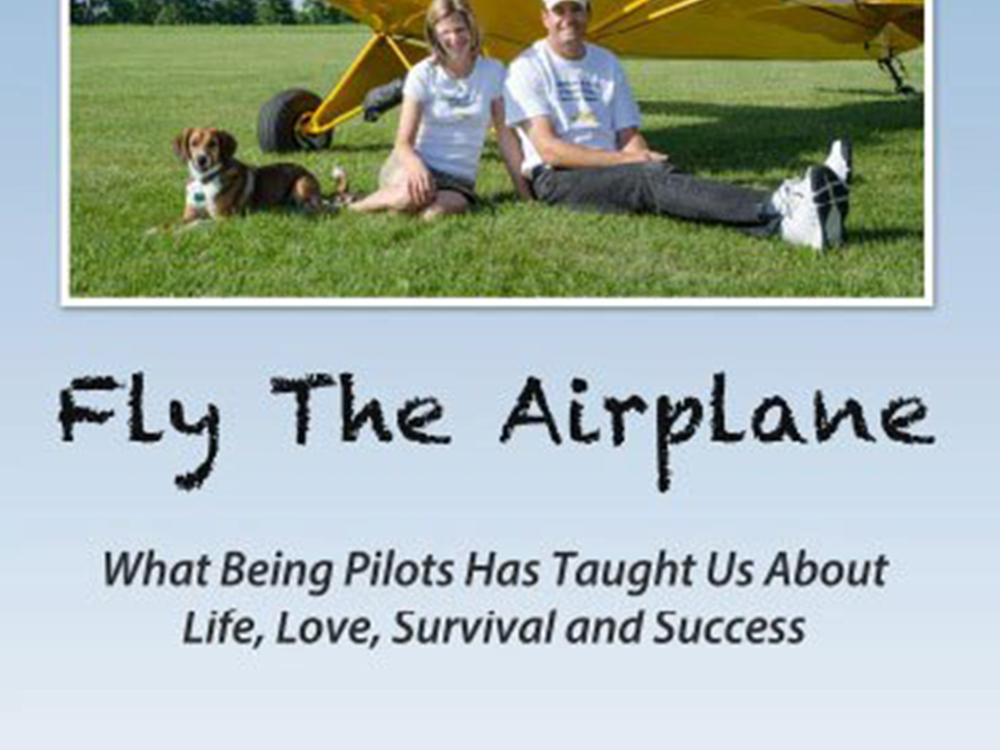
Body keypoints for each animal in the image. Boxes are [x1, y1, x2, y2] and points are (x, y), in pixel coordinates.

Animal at [174, 128, 354, 226]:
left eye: (212, 144)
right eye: (193, 143)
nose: (201, 160)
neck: (205, 181)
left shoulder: (223, 218)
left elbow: (198, 223)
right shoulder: (188, 214)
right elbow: (174, 222)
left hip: (301, 183)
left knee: (318, 205)